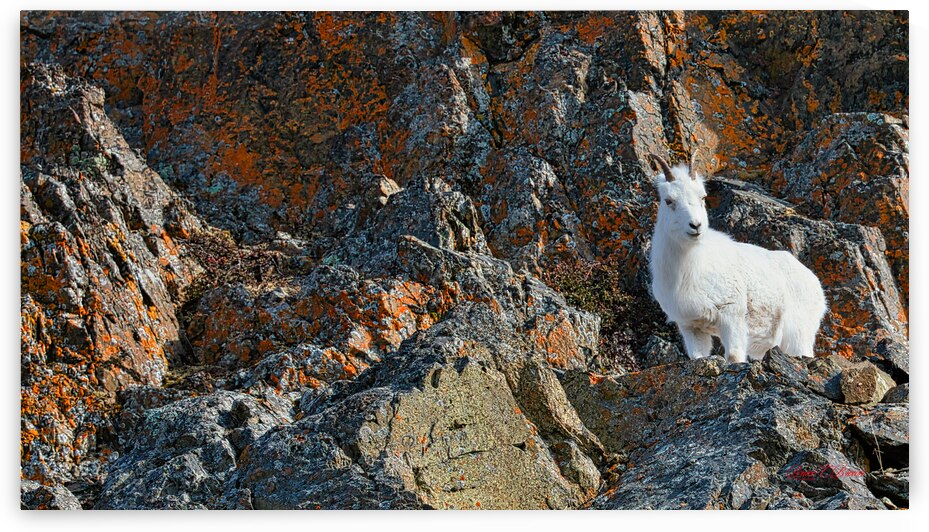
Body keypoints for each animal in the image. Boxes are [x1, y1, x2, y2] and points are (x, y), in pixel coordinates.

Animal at [646, 153, 827, 363]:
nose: (696, 225)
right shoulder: (691, 327)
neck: (690, 270)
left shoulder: (731, 315)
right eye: (668, 200)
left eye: (702, 197)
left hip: (798, 335)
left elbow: (733, 356)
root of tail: (816, 285)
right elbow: (698, 356)